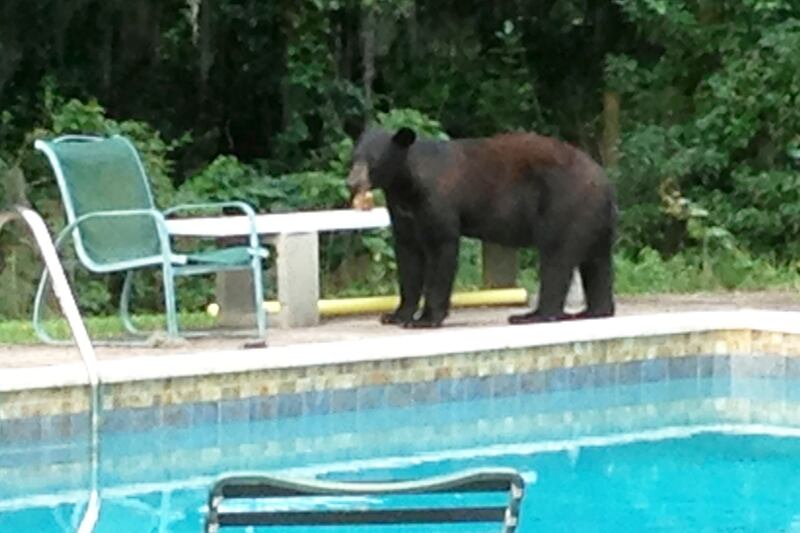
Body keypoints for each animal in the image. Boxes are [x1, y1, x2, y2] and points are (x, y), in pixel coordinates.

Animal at [346, 127, 617, 328]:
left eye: (373, 160)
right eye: (355, 156)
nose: (352, 182)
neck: (406, 185)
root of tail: (605, 182)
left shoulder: (436, 201)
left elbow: (441, 249)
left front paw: (426, 319)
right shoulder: (403, 211)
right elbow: (408, 256)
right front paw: (396, 315)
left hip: (564, 205)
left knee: (556, 258)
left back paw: (533, 315)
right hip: (594, 219)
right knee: (597, 262)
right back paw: (594, 311)